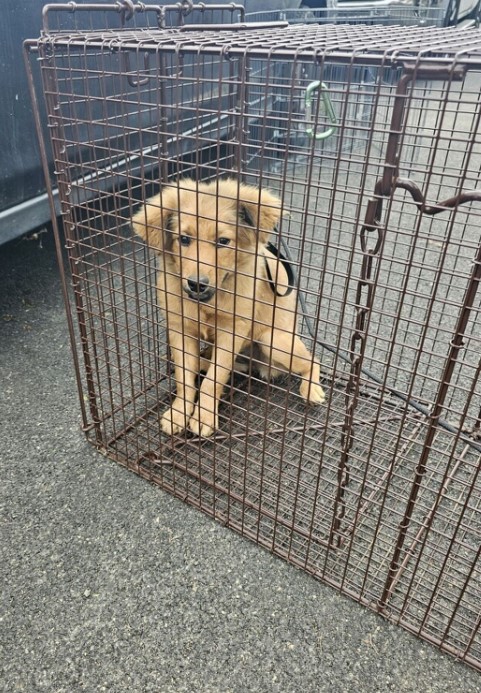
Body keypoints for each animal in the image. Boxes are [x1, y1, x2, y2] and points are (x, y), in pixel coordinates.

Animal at [133, 180, 324, 438]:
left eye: (223, 241)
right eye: (184, 239)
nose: (196, 284)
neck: (208, 301)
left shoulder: (232, 332)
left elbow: (213, 379)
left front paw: (203, 416)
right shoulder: (180, 329)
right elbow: (185, 377)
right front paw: (180, 411)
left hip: (274, 340)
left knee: (313, 360)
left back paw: (311, 389)